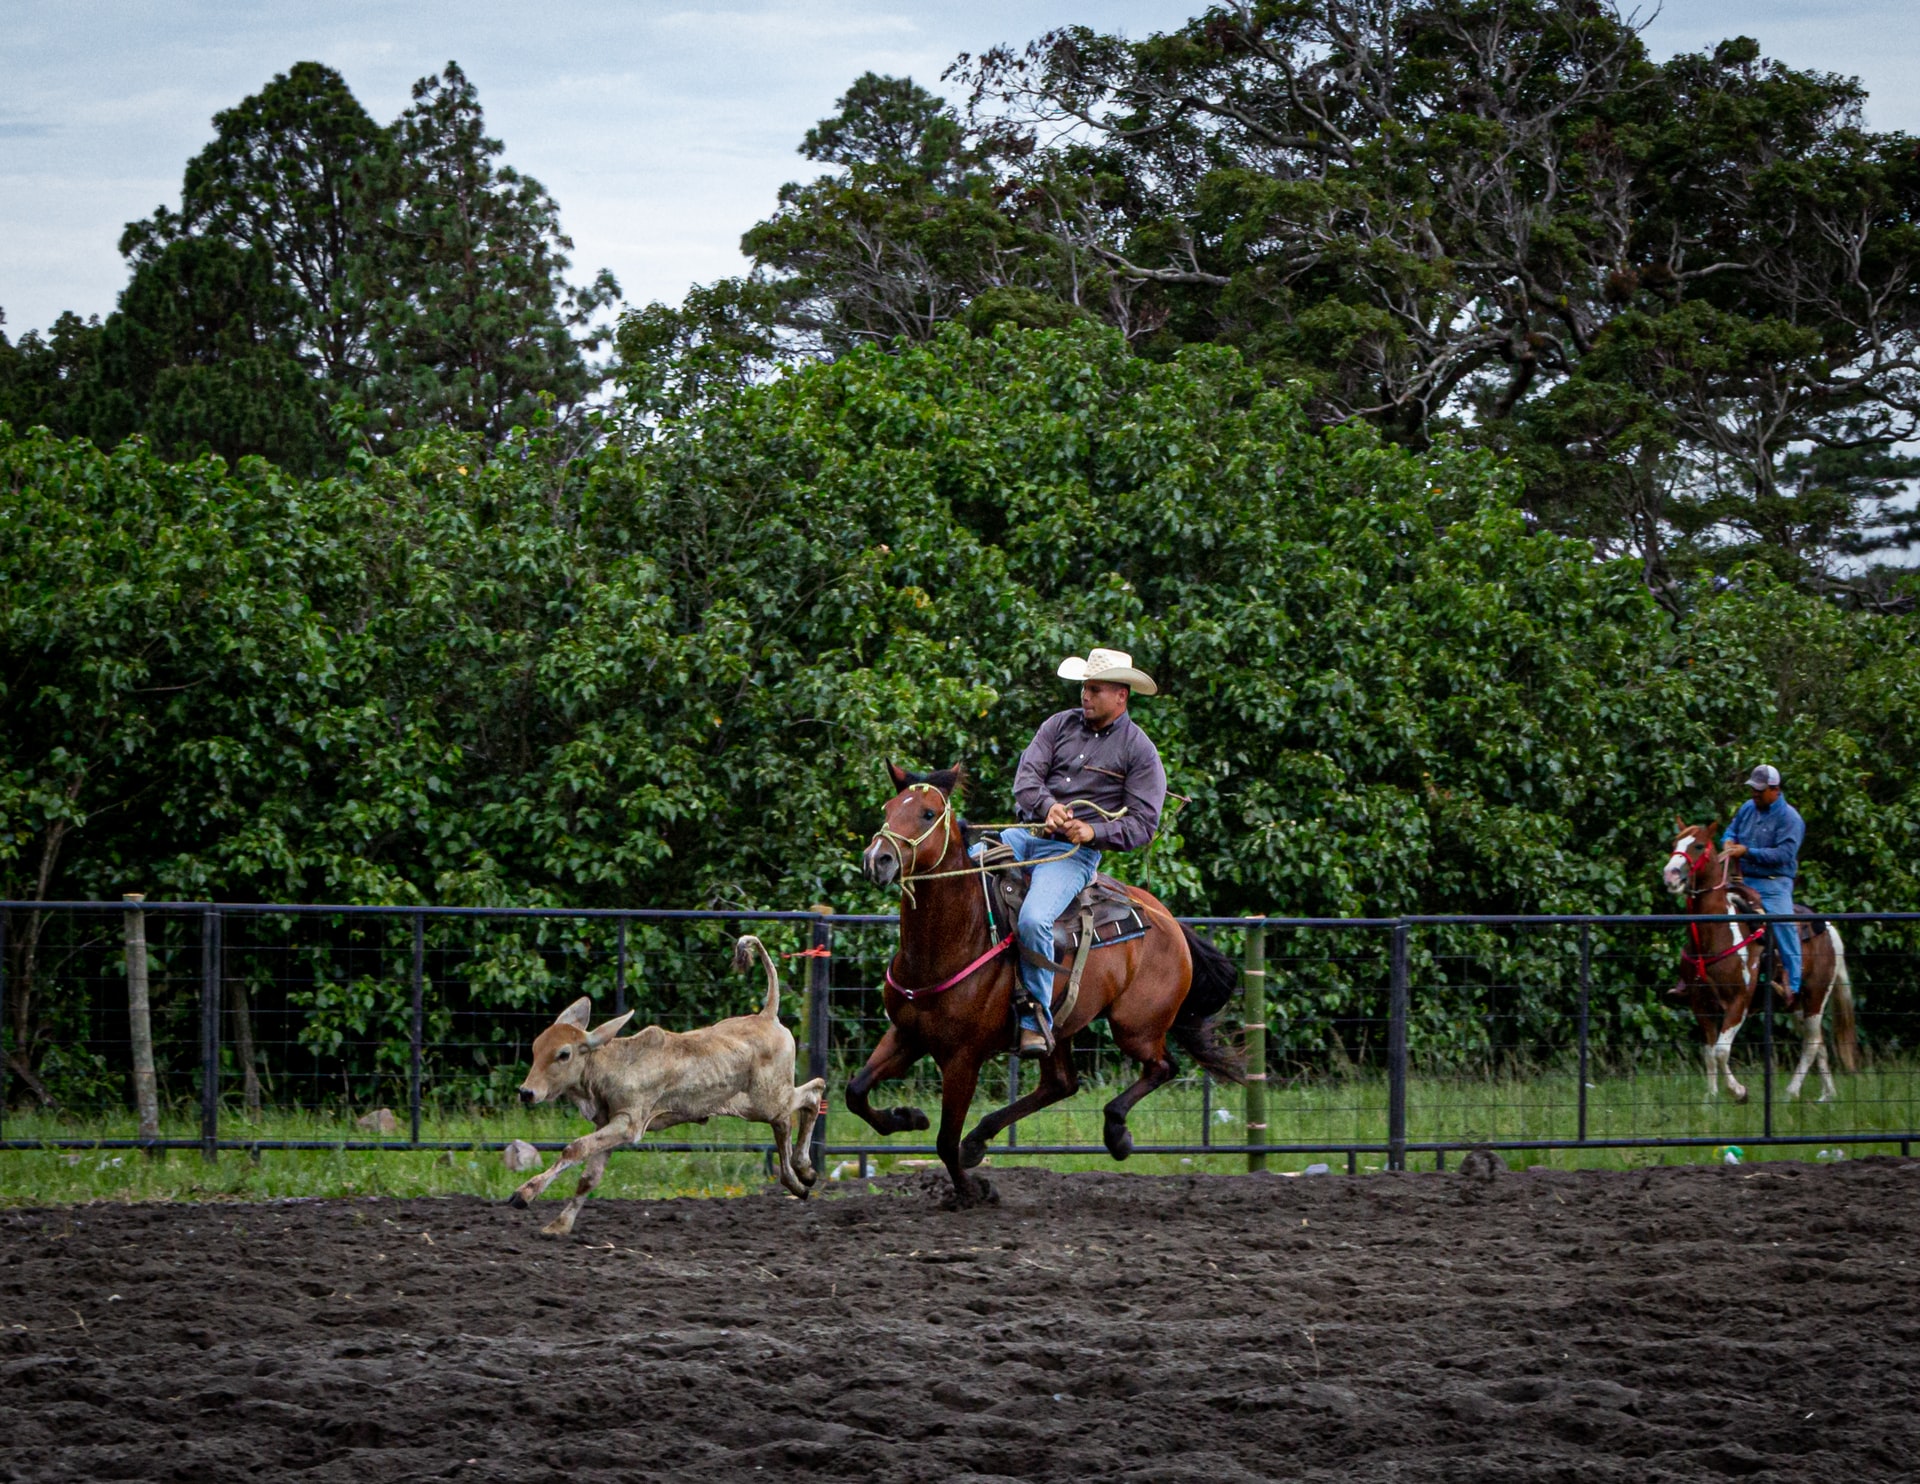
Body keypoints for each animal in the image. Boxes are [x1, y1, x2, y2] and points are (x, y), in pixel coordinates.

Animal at [506, 933, 821, 1236]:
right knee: (795, 1111)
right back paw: (801, 1178)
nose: (526, 1092)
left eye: (563, 1054)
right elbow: (589, 1177)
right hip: (755, 1105)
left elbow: (574, 1149)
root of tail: (768, 1015)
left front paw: (524, 1194)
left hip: (768, 1099)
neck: (612, 1066)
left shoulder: (629, 1123)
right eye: (536, 1047)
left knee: (812, 1094)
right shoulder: (607, 1124)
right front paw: (559, 1225)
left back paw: (802, 1172)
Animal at [856, 764, 1244, 1205]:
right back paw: (979, 1138)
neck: (954, 941)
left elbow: (944, 1140)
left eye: (927, 813)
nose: (877, 859)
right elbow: (857, 1091)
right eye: (889, 808)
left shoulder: (962, 1058)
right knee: (1061, 1083)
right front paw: (907, 1117)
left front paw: (974, 1190)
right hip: (1058, 1026)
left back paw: (1116, 1133)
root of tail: (1168, 920)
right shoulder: (906, 1034)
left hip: (1135, 1026)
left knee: (1162, 1066)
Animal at [1658, 821, 1850, 1098]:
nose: (1670, 874)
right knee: (1820, 1045)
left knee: (1813, 1043)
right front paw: (1711, 1098)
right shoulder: (1700, 1004)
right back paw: (1828, 1095)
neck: (1716, 933)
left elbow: (1721, 1051)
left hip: (1816, 996)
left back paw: (1791, 1092)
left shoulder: (1739, 1002)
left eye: (1698, 846)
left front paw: (1739, 1091)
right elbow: (1709, 1053)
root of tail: (1827, 927)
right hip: (1796, 1005)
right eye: (1675, 843)